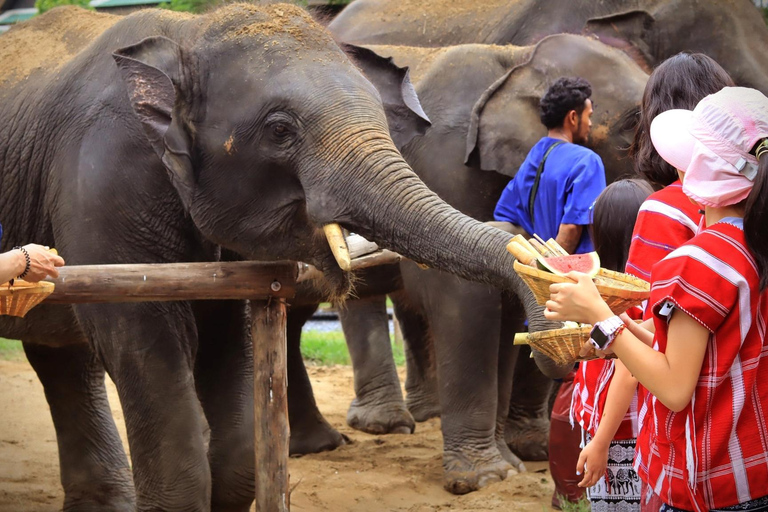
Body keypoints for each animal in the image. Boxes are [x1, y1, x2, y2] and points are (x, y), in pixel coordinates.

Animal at [0, 5, 556, 512]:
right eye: (280, 131)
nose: (548, 349)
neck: (188, 35)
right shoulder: (103, 181)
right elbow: (137, 336)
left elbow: (235, 358)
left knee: (60, 356)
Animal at [288, 34, 648, 494]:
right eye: (632, 122)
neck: (517, 61)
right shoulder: (444, 163)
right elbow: (466, 301)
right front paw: (485, 478)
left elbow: (510, 306)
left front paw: (516, 462)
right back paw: (379, 428)